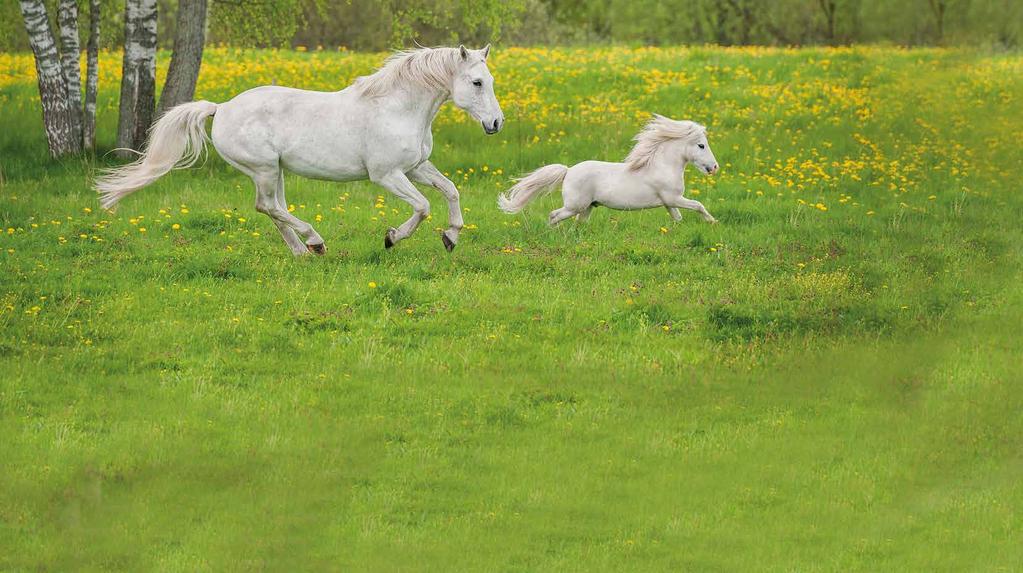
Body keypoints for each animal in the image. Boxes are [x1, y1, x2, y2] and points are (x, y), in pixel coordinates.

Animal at [497, 114, 720, 224]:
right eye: (701, 145)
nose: (715, 167)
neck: (663, 167)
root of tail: (568, 171)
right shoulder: (673, 198)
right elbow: (698, 205)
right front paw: (713, 221)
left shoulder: (668, 202)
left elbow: (678, 218)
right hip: (575, 205)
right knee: (554, 215)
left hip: (587, 207)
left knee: (579, 222)